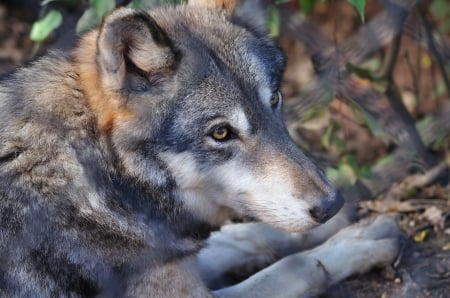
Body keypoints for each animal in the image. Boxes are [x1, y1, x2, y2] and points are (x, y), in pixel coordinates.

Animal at [0, 0, 400, 294]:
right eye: (221, 133)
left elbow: (237, 237)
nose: (332, 204)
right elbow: (291, 268)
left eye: (274, 100)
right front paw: (355, 244)